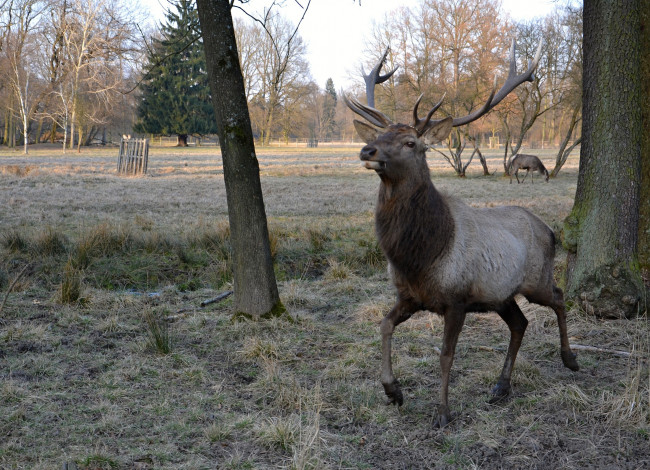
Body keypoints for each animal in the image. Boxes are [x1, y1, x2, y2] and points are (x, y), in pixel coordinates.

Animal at [344, 41, 576, 430]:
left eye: (411, 142)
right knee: (521, 323)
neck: (421, 255)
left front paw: (442, 412)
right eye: (378, 135)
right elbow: (384, 325)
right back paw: (501, 386)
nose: (367, 150)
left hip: (536, 280)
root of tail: (549, 229)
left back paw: (569, 358)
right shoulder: (410, 296)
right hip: (501, 295)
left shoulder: (456, 299)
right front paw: (393, 390)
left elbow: (446, 354)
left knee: (558, 298)